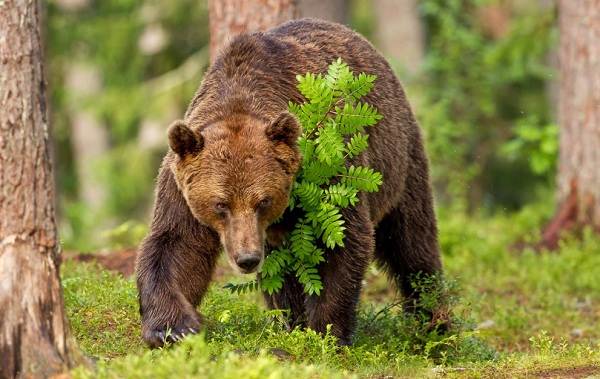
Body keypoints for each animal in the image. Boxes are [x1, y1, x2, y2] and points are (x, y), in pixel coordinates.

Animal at [137, 19, 446, 348]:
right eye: (220, 204)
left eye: (263, 201)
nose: (247, 259)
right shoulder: (180, 186)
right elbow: (177, 246)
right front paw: (173, 328)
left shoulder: (326, 170)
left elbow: (342, 240)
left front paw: (326, 331)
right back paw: (290, 320)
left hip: (397, 160)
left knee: (413, 242)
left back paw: (434, 321)